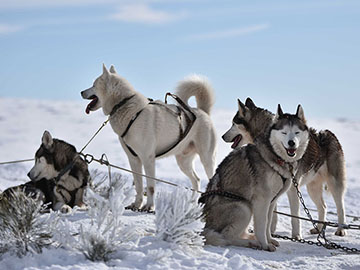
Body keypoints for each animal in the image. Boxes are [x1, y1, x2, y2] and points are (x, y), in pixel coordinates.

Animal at [81, 64, 217, 210]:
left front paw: (149, 207)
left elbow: (150, 187)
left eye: (93, 85)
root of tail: (203, 112)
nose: (81, 92)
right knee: (196, 180)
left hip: (207, 159)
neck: (126, 108)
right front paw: (136, 205)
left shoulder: (148, 159)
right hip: (183, 162)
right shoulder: (134, 159)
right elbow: (139, 186)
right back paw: (191, 203)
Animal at [200, 104, 310, 251]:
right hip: (244, 207)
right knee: (227, 237)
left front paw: (269, 240)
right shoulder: (262, 200)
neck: (276, 157)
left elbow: (268, 224)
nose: (291, 143)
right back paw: (252, 243)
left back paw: (251, 238)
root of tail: (206, 227)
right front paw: (265, 244)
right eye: (284, 132)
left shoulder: (271, 201)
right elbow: (262, 225)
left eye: (297, 132)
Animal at [224, 98, 348, 237]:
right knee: (323, 207)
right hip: (313, 188)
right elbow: (272, 212)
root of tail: (328, 133)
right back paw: (319, 229)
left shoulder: (293, 189)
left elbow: (295, 216)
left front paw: (296, 236)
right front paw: (271, 231)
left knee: (340, 207)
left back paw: (341, 230)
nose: (222, 136)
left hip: (335, 184)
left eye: (233, 124)